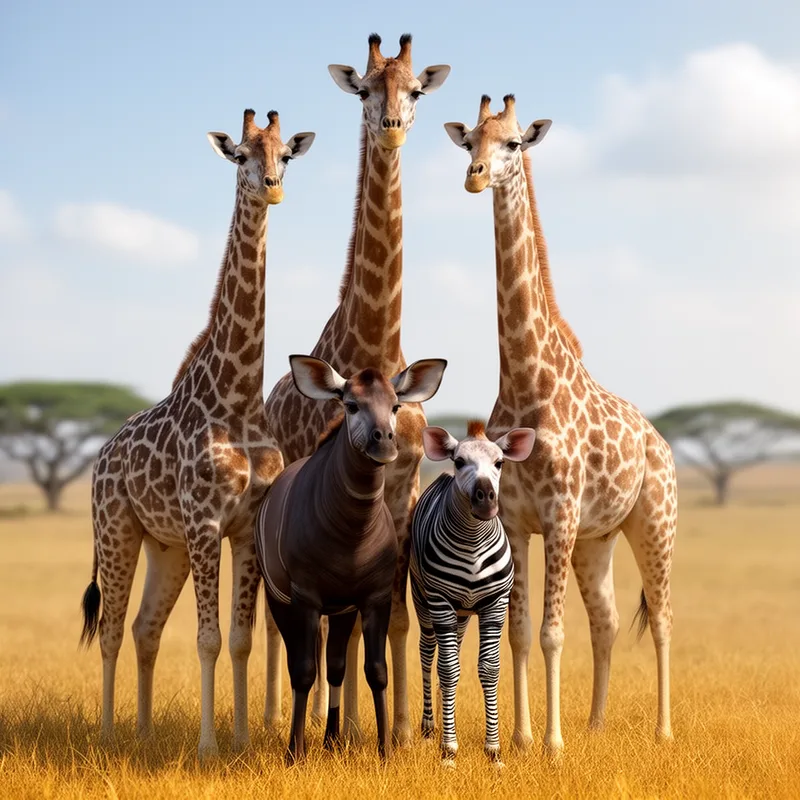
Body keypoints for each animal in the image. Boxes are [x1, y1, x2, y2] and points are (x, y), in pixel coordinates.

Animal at [79, 109, 315, 760]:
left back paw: (142, 731)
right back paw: (109, 734)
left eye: (286, 154)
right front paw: (210, 747)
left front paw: (241, 740)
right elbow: (208, 638)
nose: (272, 187)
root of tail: (100, 457)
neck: (236, 396)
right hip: (117, 529)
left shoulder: (242, 526)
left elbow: (238, 638)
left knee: (144, 627)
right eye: (242, 156)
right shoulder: (207, 520)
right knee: (111, 629)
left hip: (167, 546)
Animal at [262, 33, 450, 745]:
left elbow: (395, 616)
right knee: (285, 624)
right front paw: (329, 726)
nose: (392, 126)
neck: (375, 343)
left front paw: (399, 733)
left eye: (416, 90)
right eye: (366, 89)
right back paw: (282, 719)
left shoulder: (402, 489)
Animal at [444, 94, 677, 755]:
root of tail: (662, 443)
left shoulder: (560, 514)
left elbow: (551, 633)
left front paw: (552, 744)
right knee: (607, 620)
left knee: (661, 619)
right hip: (599, 539)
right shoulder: (519, 521)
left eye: (513, 142)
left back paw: (662, 731)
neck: (527, 380)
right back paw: (596, 724)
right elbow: (520, 631)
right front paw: (522, 739)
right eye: (468, 140)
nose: (474, 176)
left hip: (654, 523)